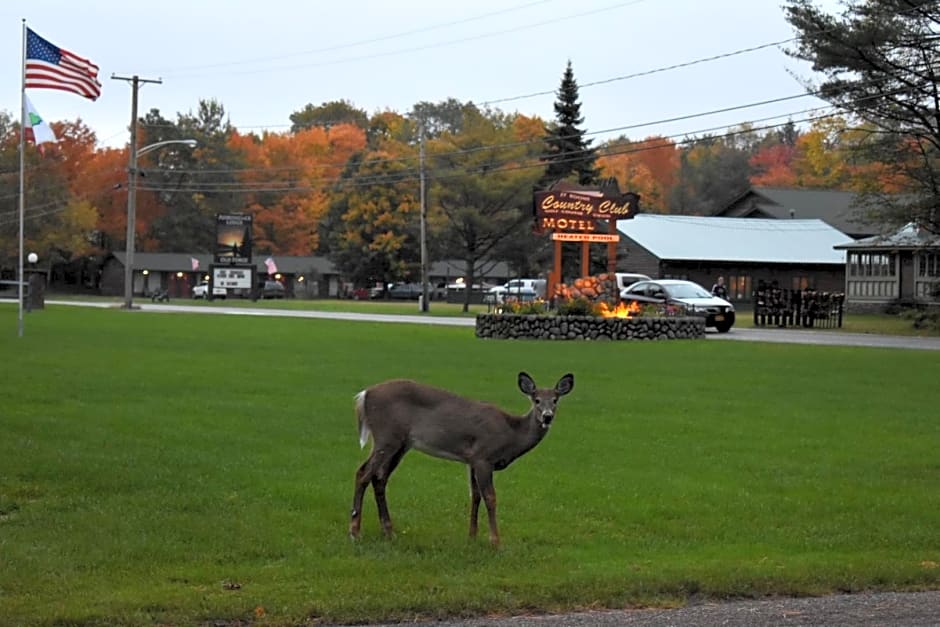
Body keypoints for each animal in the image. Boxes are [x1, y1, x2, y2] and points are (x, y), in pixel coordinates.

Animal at [348, 372, 572, 544]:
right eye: (536, 400)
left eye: (555, 400)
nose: (547, 416)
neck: (511, 434)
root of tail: (364, 395)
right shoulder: (484, 457)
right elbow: (490, 497)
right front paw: (495, 541)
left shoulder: (471, 460)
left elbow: (475, 495)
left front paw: (472, 536)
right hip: (387, 436)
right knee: (363, 473)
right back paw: (355, 531)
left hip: (401, 444)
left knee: (379, 478)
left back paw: (388, 531)